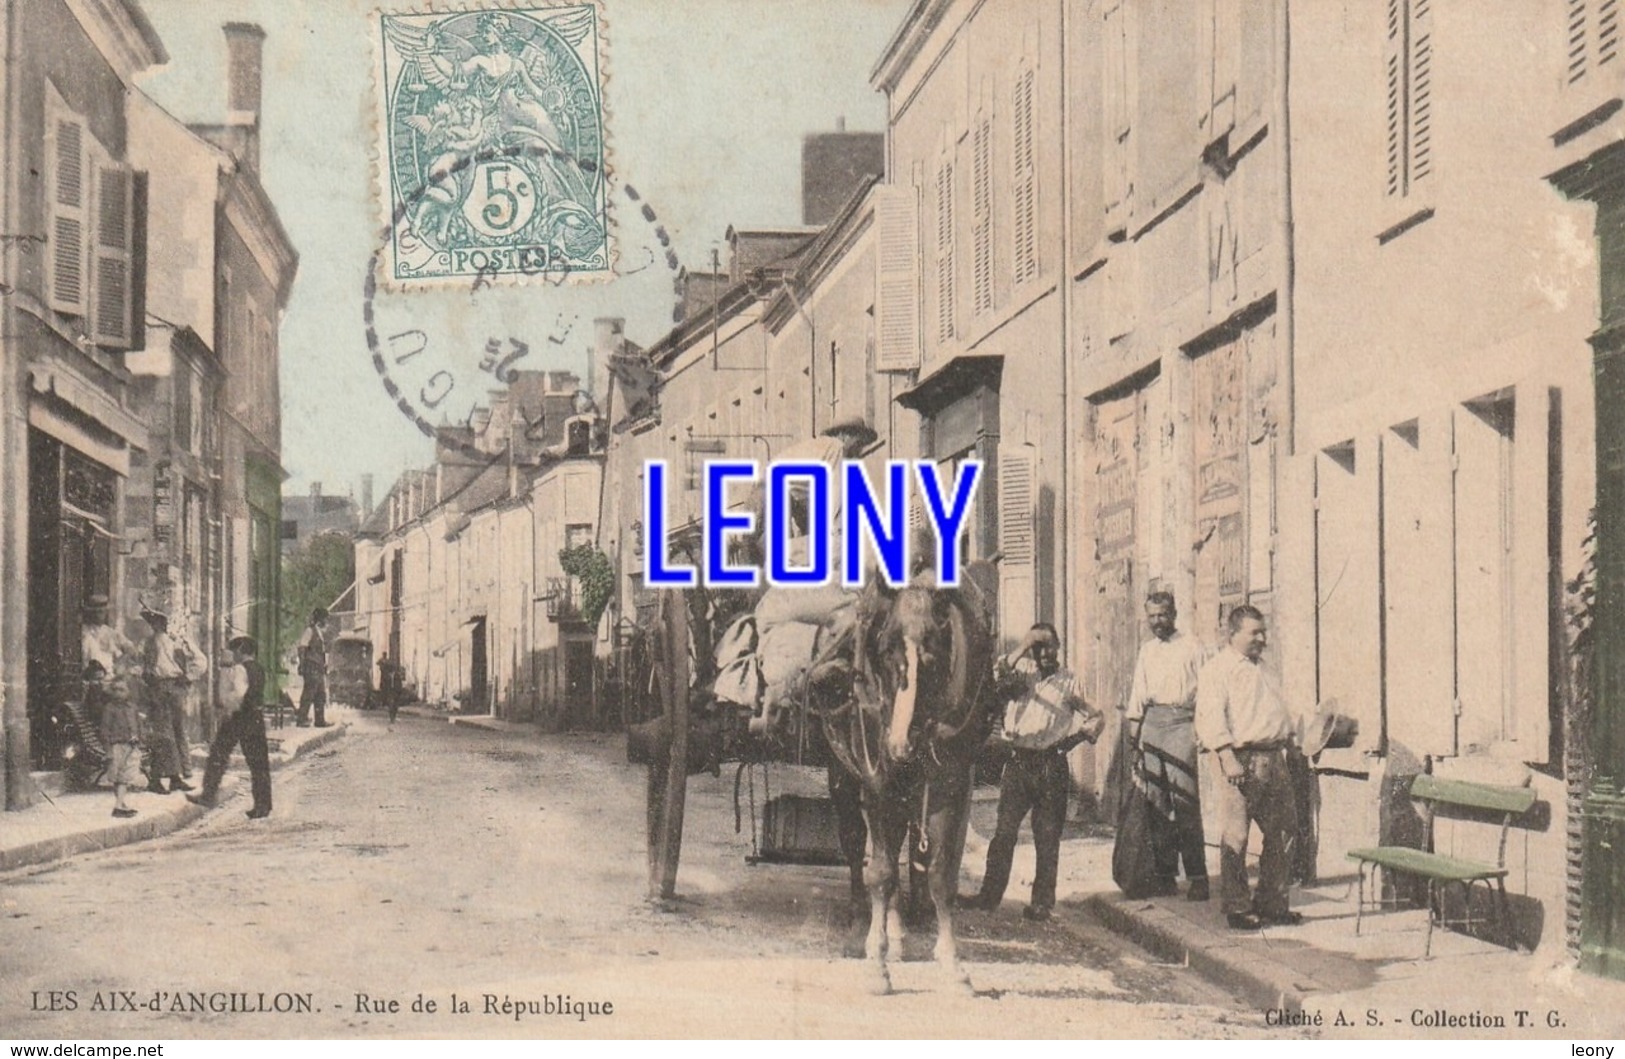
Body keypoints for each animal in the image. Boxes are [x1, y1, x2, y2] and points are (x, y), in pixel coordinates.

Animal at [812, 565, 1001, 994]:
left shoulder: (951, 785)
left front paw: (952, 964)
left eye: (934, 655)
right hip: (844, 775)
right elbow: (881, 873)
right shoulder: (878, 784)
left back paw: (897, 932)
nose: (900, 744)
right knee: (857, 847)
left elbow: (940, 874)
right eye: (885, 652)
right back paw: (861, 926)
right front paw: (877, 966)